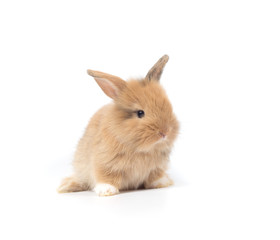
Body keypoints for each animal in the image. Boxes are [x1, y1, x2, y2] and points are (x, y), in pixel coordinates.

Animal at [57, 55, 179, 196]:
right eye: (140, 113)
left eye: (169, 107)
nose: (165, 132)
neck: (141, 149)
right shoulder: (104, 162)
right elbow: (106, 176)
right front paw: (106, 190)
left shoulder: (157, 167)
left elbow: (155, 176)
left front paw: (162, 183)